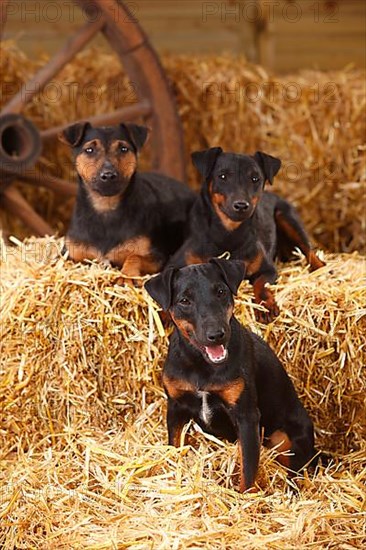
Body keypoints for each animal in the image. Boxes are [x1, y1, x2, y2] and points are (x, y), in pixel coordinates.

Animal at [61, 122, 196, 278]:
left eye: (123, 149)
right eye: (89, 150)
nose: (108, 175)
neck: (106, 207)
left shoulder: (158, 256)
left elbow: (134, 256)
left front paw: (127, 276)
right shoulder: (69, 255)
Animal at [145, 260, 318, 494]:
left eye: (221, 291)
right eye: (184, 301)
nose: (217, 335)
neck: (201, 364)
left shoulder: (246, 415)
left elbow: (248, 467)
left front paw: (245, 498)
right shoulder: (176, 407)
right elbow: (175, 446)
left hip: (283, 437)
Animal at [169, 149, 326, 326]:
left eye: (255, 178)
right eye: (222, 176)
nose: (241, 205)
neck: (228, 233)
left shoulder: (268, 270)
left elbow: (260, 284)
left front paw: (265, 307)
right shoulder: (177, 262)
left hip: (287, 217)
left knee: (309, 250)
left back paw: (321, 268)